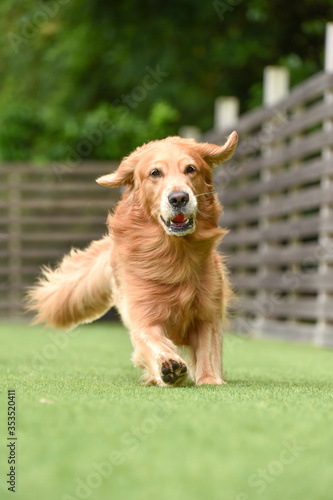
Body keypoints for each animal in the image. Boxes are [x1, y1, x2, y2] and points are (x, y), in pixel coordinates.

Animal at [27, 133, 237, 386]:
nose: (178, 198)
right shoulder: (143, 314)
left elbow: (208, 348)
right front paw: (169, 365)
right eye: (155, 173)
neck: (174, 253)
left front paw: (209, 379)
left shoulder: (208, 311)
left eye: (191, 169)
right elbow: (151, 339)